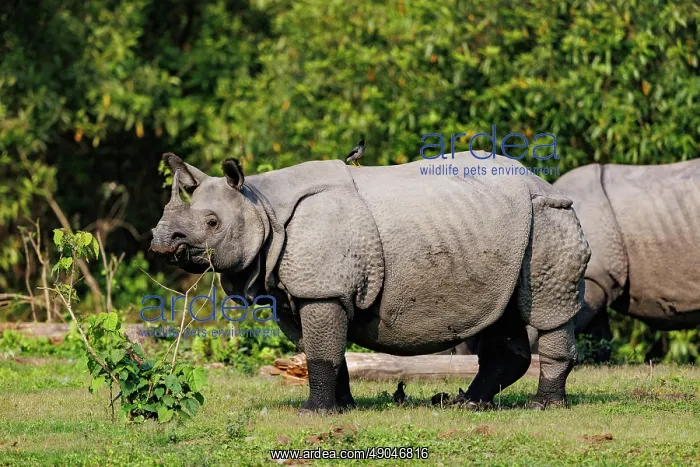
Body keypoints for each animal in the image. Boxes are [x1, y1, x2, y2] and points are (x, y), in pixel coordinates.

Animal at [150, 151, 590, 413]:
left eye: (212, 223)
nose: (160, 240)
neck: (259, 204)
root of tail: (545, 182)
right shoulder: (297, 291)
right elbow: (324, 351)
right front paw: (341, 407)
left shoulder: (322, 289)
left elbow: (321, 351)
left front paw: (313, 413)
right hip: (509, 231)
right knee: (502, 311)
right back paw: (465, 404)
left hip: (549, 217)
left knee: (548, 310)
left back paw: (543, 407)